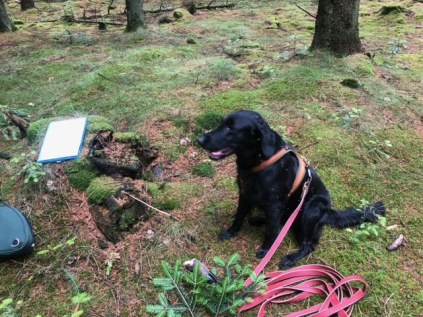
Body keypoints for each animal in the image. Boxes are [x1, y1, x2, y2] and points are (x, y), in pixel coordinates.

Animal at [197, 110, 386, 268]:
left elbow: (272, 230)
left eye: (231, 127)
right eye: (222, 123)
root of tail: (329, 212)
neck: (260, 163)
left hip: (311, 208)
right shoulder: (244, 194)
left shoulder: (275, 203)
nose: (199, 139)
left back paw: (290, 258)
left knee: (308, 244)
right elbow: (239, 217)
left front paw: (266, 250)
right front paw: (230, 232)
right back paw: (257, 220)